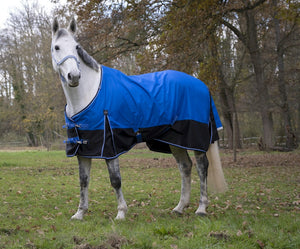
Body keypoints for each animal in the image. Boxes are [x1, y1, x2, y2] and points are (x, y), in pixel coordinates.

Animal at [51, 17, 227, 220]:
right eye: (56, 47)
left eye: (76, 47)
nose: (74, 76)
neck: (89, 93)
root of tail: (202, 85)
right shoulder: (84, 149)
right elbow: (83, 181)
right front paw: (80, 213)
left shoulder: (109, 147)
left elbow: (115, 180)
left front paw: (121, 213)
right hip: (176, 140)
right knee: (185, 166)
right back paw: (179, 207)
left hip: (194, 139)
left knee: (201, 166)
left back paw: (201, 208)